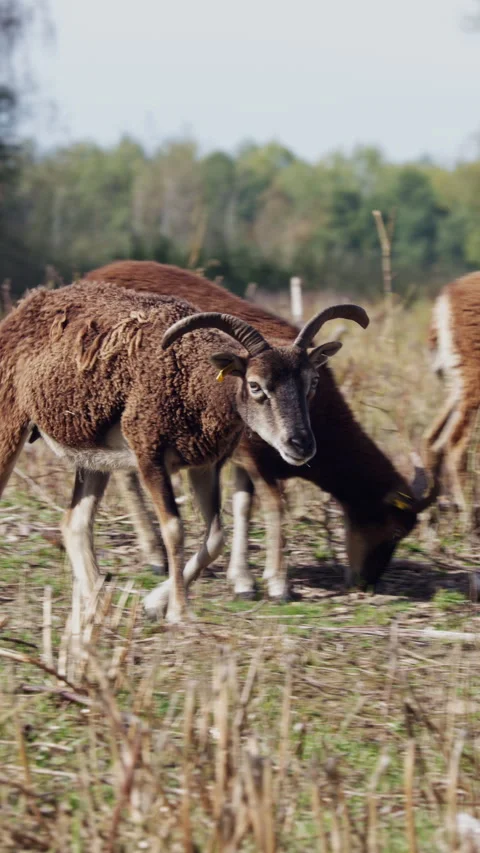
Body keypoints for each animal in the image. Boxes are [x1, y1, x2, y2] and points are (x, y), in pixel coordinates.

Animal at [0, 277, 368, 621]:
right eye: (255, 385)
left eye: (312, 383)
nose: (300, 444)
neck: (192, 376)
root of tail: (26, 305)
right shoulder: (150, 456)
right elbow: (175, 531)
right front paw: (179, 612)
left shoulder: (204, 464)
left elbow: (216, 537)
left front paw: (153, 604)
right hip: (11, 424)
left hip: (92, 457)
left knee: (75, 525)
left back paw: (97, 607)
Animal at [81, 261, 439, 596]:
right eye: (394, 529)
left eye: (312, 382)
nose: (364, 583)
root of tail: (92, 276)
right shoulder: (256, 455)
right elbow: (274, 505)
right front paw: (278, 584)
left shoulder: (245, 458)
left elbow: (243, 505)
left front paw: (243, 579)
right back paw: (156, 556)